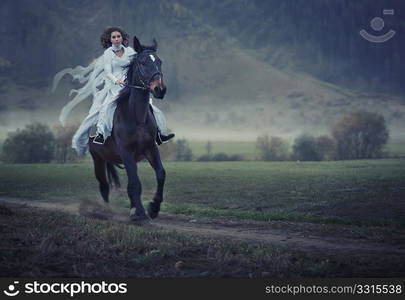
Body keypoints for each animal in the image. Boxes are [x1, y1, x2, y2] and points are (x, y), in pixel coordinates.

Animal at [88, 36, 167, 224]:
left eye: (159, 62)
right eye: (143, 62)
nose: (160, 89)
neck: (137, 118)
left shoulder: (150, 149)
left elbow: (160, 174)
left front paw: (153, 208)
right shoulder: (126, 152)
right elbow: (135, 183)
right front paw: (143, 214)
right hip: (98, 159)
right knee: (104, 185)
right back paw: (107, 211)